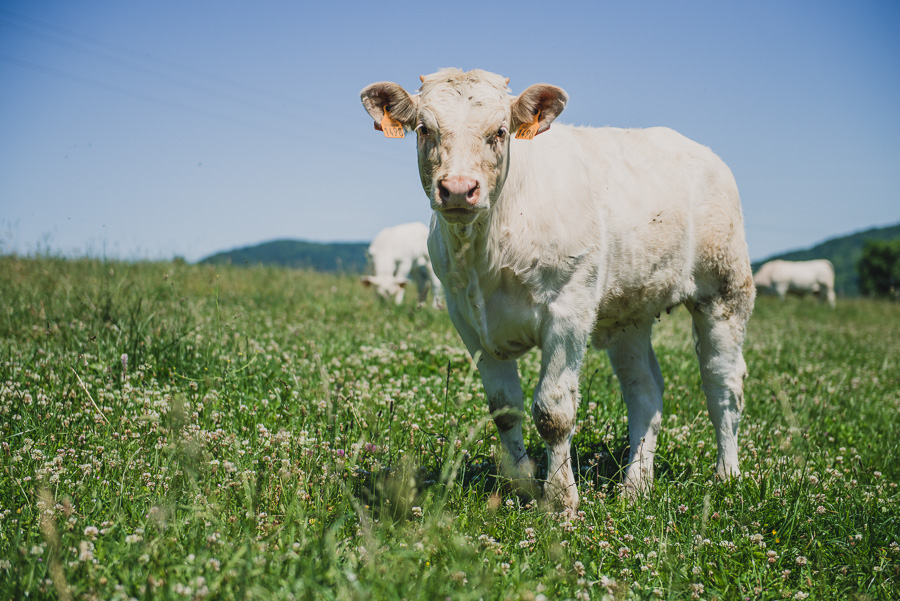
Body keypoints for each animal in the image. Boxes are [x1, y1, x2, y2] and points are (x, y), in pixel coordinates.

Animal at [358, 69, 752, 510]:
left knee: (723, 385)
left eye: (500, 131)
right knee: (645, 393)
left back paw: (727, 475)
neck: (488, 251)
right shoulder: (468, 321)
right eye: (424, 129)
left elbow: (553, 412)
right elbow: (504, 408)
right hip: (629, 315)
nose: (458, 188)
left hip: (725, 292)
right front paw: (521, 485)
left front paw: (561, 500)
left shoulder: (569, 311)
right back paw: (636, 485)